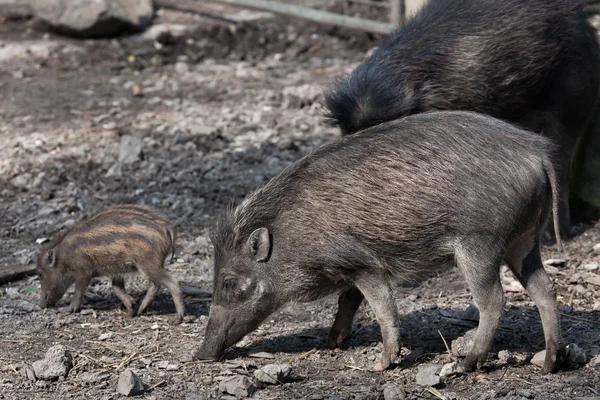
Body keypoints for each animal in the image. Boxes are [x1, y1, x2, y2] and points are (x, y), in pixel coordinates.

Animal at [36, 205, 185, 324]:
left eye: (41, 274)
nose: (41, 305)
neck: (63, 257)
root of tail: (167, 228)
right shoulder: (116, 271)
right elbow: (116, 288)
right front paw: (131, 310)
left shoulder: (84, 271)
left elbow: (79, 290)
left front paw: (69, 309)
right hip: (151, 265)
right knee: (155, 284)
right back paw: (141, 310)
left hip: (149, 263)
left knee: (172, 282)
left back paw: (177, 319)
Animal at [196, 111, 564, 376]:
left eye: (228, 281)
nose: (200, 355)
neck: (292, 233)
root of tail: (537, 153)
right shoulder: (350, 269)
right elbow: (348, 301)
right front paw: (332, 343)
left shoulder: (364, 263)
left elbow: (383, 308)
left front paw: (380, 365)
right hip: (524, 242)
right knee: (545, 289)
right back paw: (549, 363)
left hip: (480, 245)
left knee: (494, 300)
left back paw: (466, 363)